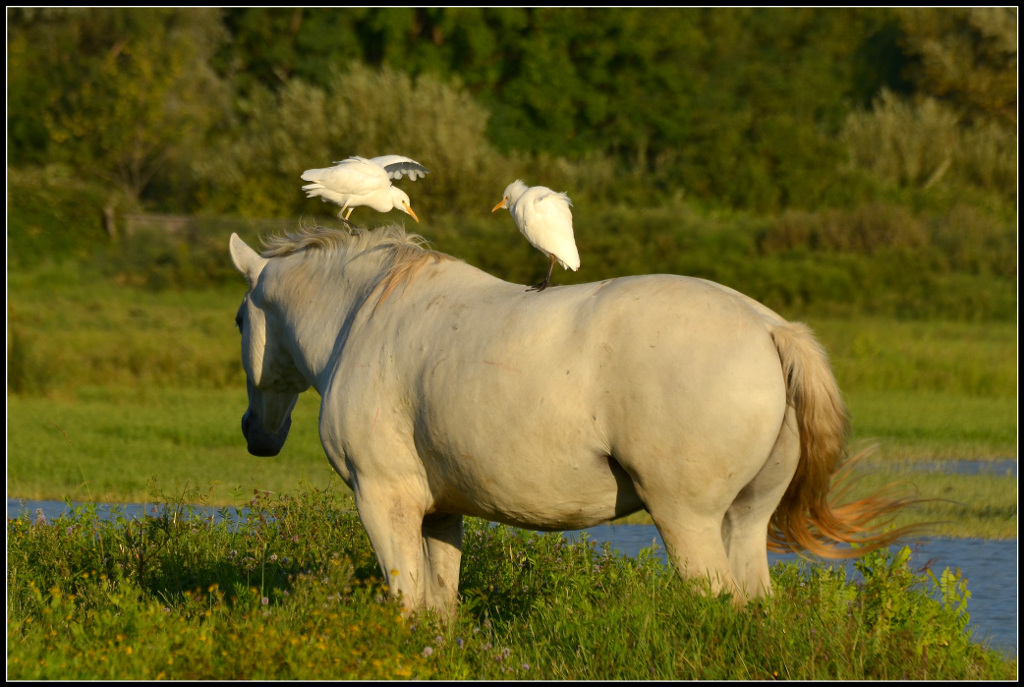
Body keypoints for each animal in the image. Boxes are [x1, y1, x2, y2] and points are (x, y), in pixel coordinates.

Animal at [230, 224, 905, 618]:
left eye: (240, 319)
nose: (254, 434)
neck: (365, 316)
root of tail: (770, 328)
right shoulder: (440, 513)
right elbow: (439, 608)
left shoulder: (383, 501)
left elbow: (409, 603)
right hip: (745, 521)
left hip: (688, 522)